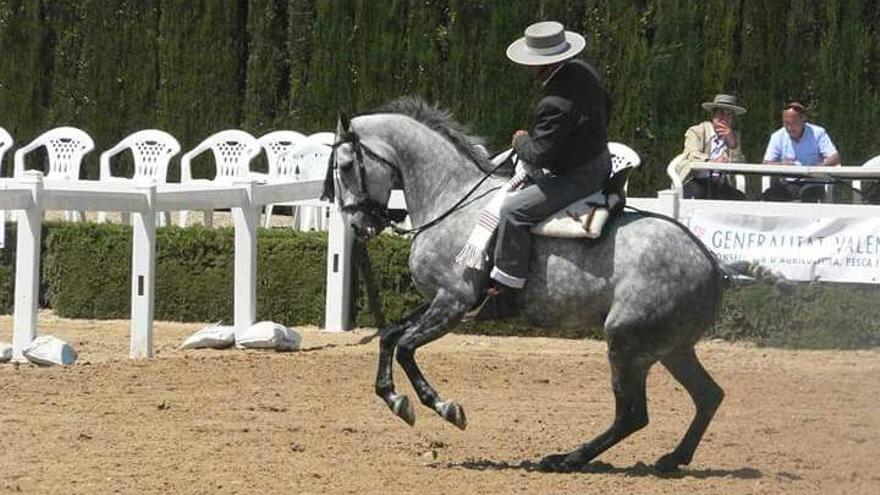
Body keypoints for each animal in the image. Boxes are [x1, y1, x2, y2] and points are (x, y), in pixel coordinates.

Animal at [326, 96, 744, 472]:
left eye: (345, 166)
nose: (359, 226)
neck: (451, 200)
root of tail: (708, 261)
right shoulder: (440, 301)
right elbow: (389, 336)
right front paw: (395, 399)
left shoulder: (454, 302)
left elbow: (406, 348)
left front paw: (446, 408)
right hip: (671, 349)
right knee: (708, 396)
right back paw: (672, 459)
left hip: (627, 343)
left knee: (633, 415)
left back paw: (566, 459)